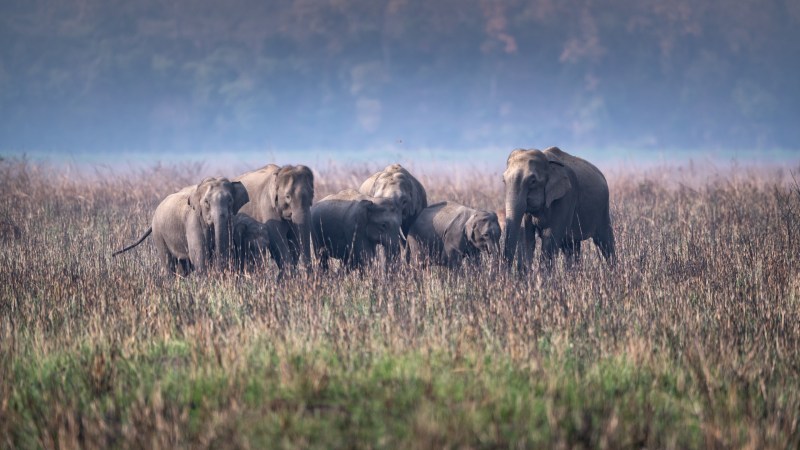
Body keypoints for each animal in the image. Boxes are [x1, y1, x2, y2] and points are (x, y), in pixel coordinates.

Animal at [114, 176, 248, 274]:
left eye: (230, 200)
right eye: (206, 202)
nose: (219, 272)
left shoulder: (229, 223)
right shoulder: (193, 221)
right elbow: (198, 254)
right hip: (158, 233)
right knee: (168, 262)